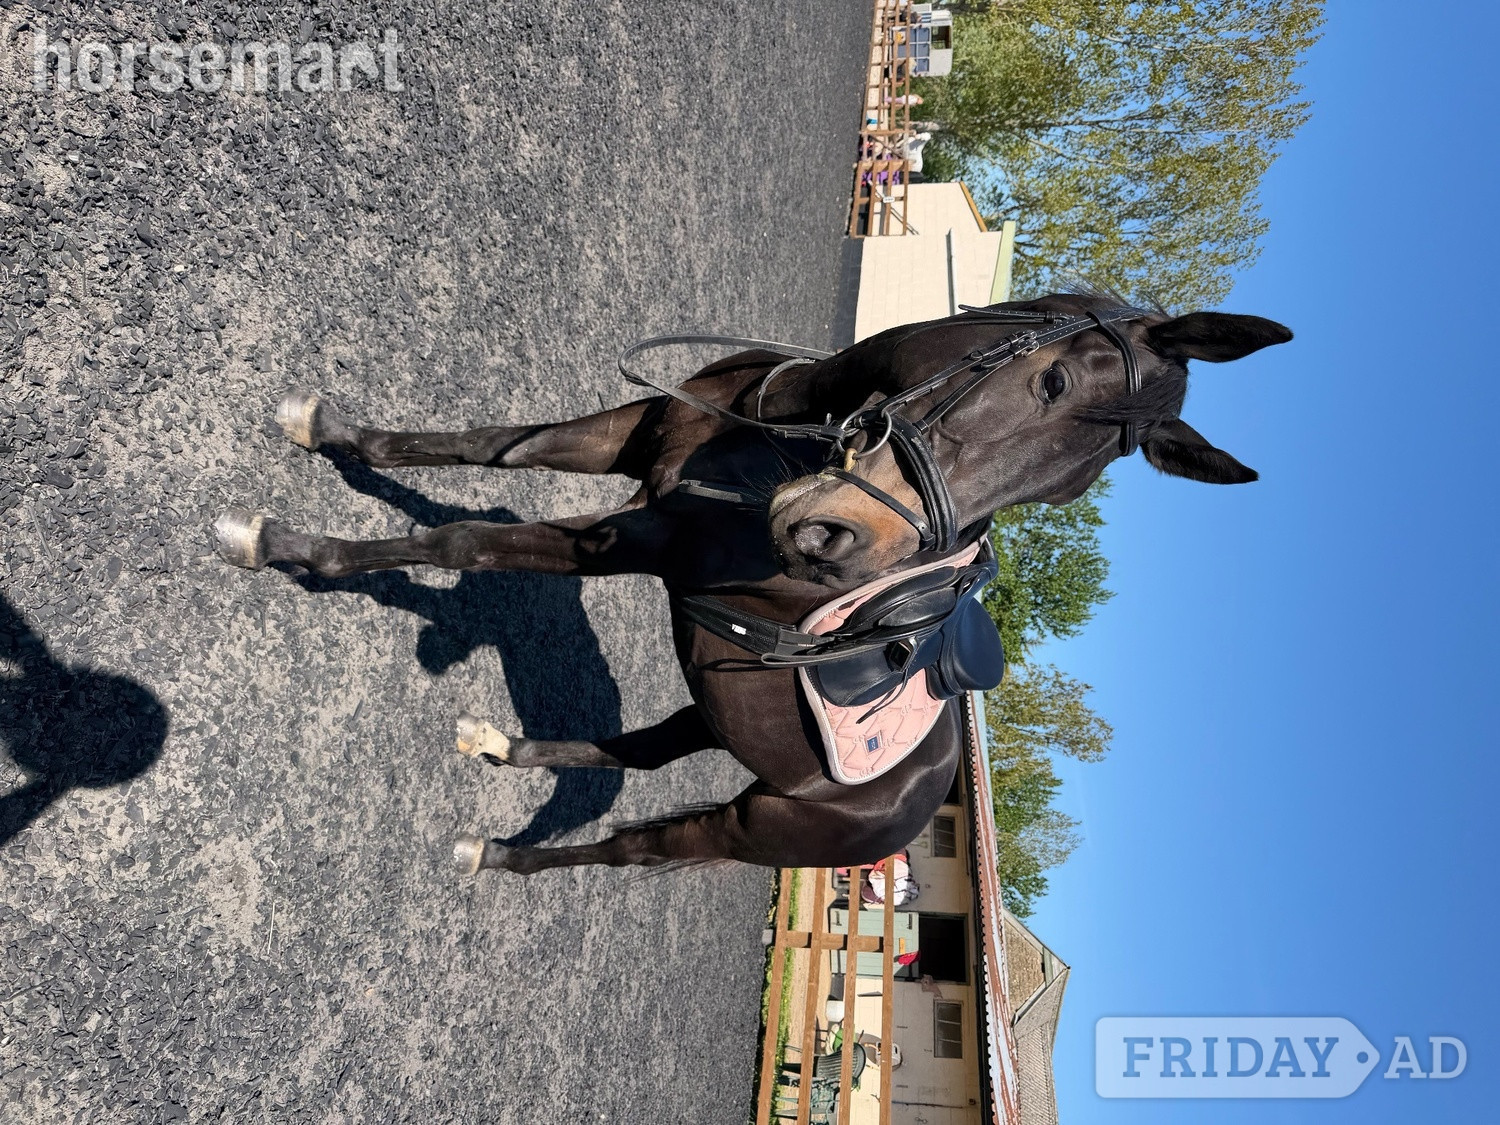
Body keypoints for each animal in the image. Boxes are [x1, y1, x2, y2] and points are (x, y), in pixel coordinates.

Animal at [213, 292, 1290, 876]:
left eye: (1065, 487)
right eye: (1053, 384)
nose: (837, 542)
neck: (776, 438)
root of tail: (920, 808)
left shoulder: (632, 537)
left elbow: (466, 540)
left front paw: (281, 544)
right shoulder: (629, 431)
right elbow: (487, 446)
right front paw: (328, 431)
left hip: (752, 827)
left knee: (632, 847)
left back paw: (501, 856)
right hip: (720, 710)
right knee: (638, 749)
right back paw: (503, 747)